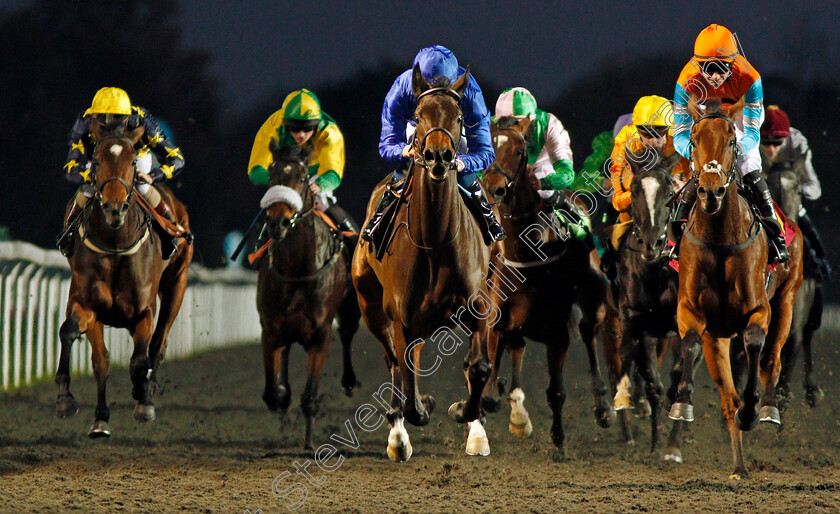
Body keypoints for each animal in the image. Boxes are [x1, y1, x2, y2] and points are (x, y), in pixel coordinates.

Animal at [56, 133, 194, 436]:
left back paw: (146, 392)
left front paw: (144, 401)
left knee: (158, 343)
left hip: (177, 284)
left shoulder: (144, 310)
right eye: (96, 161)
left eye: (132, 161)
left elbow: (140, 359)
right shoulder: (87, 304)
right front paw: (70, 402)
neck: (115, 245)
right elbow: (82, 344)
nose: (114, 208)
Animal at [256, 140, 360, 448]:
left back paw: (350, 383)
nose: (277, 222)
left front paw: (309, 442)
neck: (299, 269)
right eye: (271, 175)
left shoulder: (320, 335)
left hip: (350, 309)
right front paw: (281, 396)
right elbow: (272, 392)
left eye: (302, 178)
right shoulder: (270, 329)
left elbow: (310, 397)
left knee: (347, 334)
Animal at [352, 65, 492, 460]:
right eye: (418, 114)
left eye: (459, 117)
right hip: (372, 307)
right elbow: (409, 391)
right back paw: (398, 436)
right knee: (396, 366)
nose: (439, 157)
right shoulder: (402, 317)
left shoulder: (479, 306)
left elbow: (478, 367)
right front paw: (423, 408)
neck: (435, 241)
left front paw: (464, 412)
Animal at [480, 115, 612, 452]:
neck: (527, 251)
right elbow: (488, 391)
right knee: (517, 346)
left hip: (593, 305)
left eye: (518, 151)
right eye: (489, 145)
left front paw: (558, 440)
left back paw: (602, 406)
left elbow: (556, 392)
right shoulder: (497, 320)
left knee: (589, 334)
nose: (493, 189)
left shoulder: (557, 332)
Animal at [668, 99, 804, 476]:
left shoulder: (760, 309)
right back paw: (739, 465)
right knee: (728, 397)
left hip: (787, 299)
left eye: (731, 141)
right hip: (719, 337)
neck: (719, 242)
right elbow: (689, 343)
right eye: (694, 141)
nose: (711, 191)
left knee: (772, 358)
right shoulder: (691, 310)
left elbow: (757, 344)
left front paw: (753, 409)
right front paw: (682, 403)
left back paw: (768, 409)